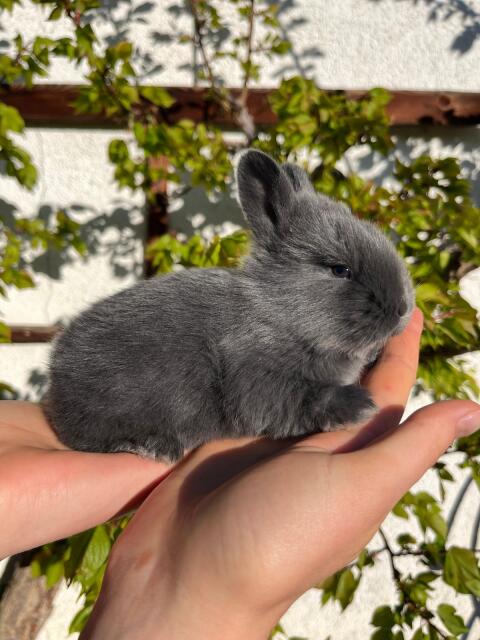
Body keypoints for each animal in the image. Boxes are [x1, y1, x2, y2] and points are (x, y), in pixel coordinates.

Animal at [44, 149, 415, 462]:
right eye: (340, 270)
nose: (402, 310)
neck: (278, 314)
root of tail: (57, 376)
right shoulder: (255, 377)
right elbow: (302, 398)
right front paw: (359, 406)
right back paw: (151, 445)